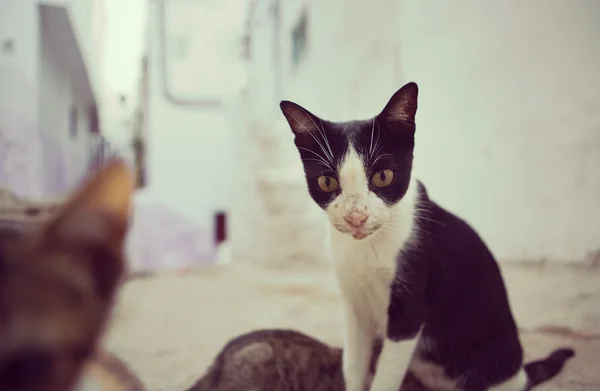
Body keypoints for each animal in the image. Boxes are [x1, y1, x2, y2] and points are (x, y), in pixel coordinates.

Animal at [278, 82, 576, 391]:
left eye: (383, 176)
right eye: (327, 182)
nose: (356, 217)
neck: (368, 249)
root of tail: (519, 374)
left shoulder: (410, 306)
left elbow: (385, 377)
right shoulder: (354, 306)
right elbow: (354, 366)